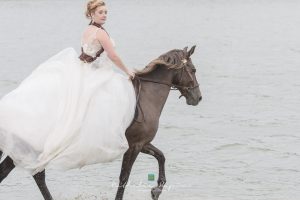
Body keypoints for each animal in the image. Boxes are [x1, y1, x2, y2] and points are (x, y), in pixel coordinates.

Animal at [0, 45, 202, 200]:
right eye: (193, 70)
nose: (198, 98)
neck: (148, 96)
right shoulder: (135, 145)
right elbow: (124, 178)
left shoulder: (143, 143)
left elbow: (161, 156)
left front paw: (156, 190)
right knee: (36, 175)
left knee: (17, 173)